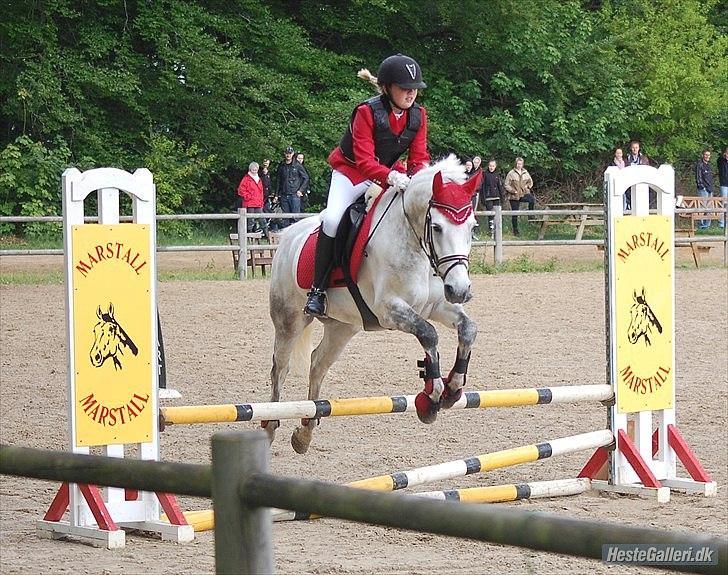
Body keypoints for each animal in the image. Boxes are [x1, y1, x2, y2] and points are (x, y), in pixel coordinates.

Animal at [264, 156, 480, 454]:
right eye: (437, 227)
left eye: (472, 227)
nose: (459, 290)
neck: (414, 243)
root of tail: (287, 236)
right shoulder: (389, 310)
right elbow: (429, 334)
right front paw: (433, 395)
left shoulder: (437, 306)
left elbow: (468, 329)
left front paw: (454, 388)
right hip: (289, 320)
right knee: (280, 369)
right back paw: (270, 425)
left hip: (343, 327)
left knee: (318, 363)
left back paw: (305, 432)